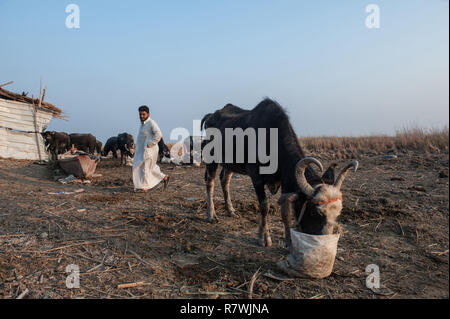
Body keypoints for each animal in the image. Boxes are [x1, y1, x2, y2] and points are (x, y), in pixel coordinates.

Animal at [200, 99, 358, 249]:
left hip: (230, 164)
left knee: (224, 180)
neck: (271, 140)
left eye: (337, 214)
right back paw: (211, 215)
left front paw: (289, 242)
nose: (324, 243)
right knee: (210, 183)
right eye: (314, 212)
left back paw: (230, 210)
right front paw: (264, 239)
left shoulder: (285, 182)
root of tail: (210, 116)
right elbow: (264, 206)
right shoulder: (256, 179)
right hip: (211, 159)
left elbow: (285, 212)